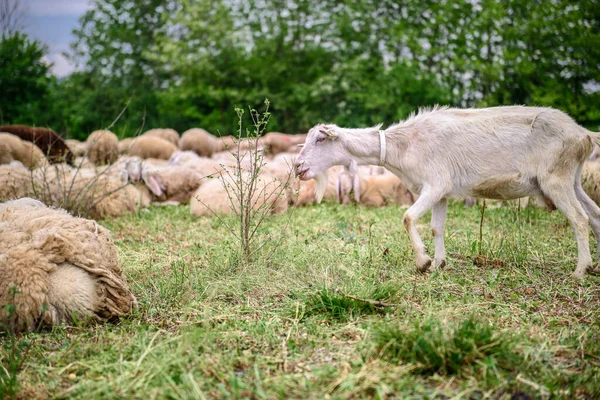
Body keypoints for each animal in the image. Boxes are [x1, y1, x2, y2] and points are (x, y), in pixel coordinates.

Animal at [296, 104, 600, 278]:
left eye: (320, 139)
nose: (298, 166)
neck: (403, 145)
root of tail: (582, 133)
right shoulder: (440, 193)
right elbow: (436, 227)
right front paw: (439, 263)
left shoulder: (435, 184)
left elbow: (407, 217)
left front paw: (423, 261)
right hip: (572, 179)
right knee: (594, 215)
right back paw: (594, 267)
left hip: (555, 178)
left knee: (579, 219)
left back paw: (579, 270)